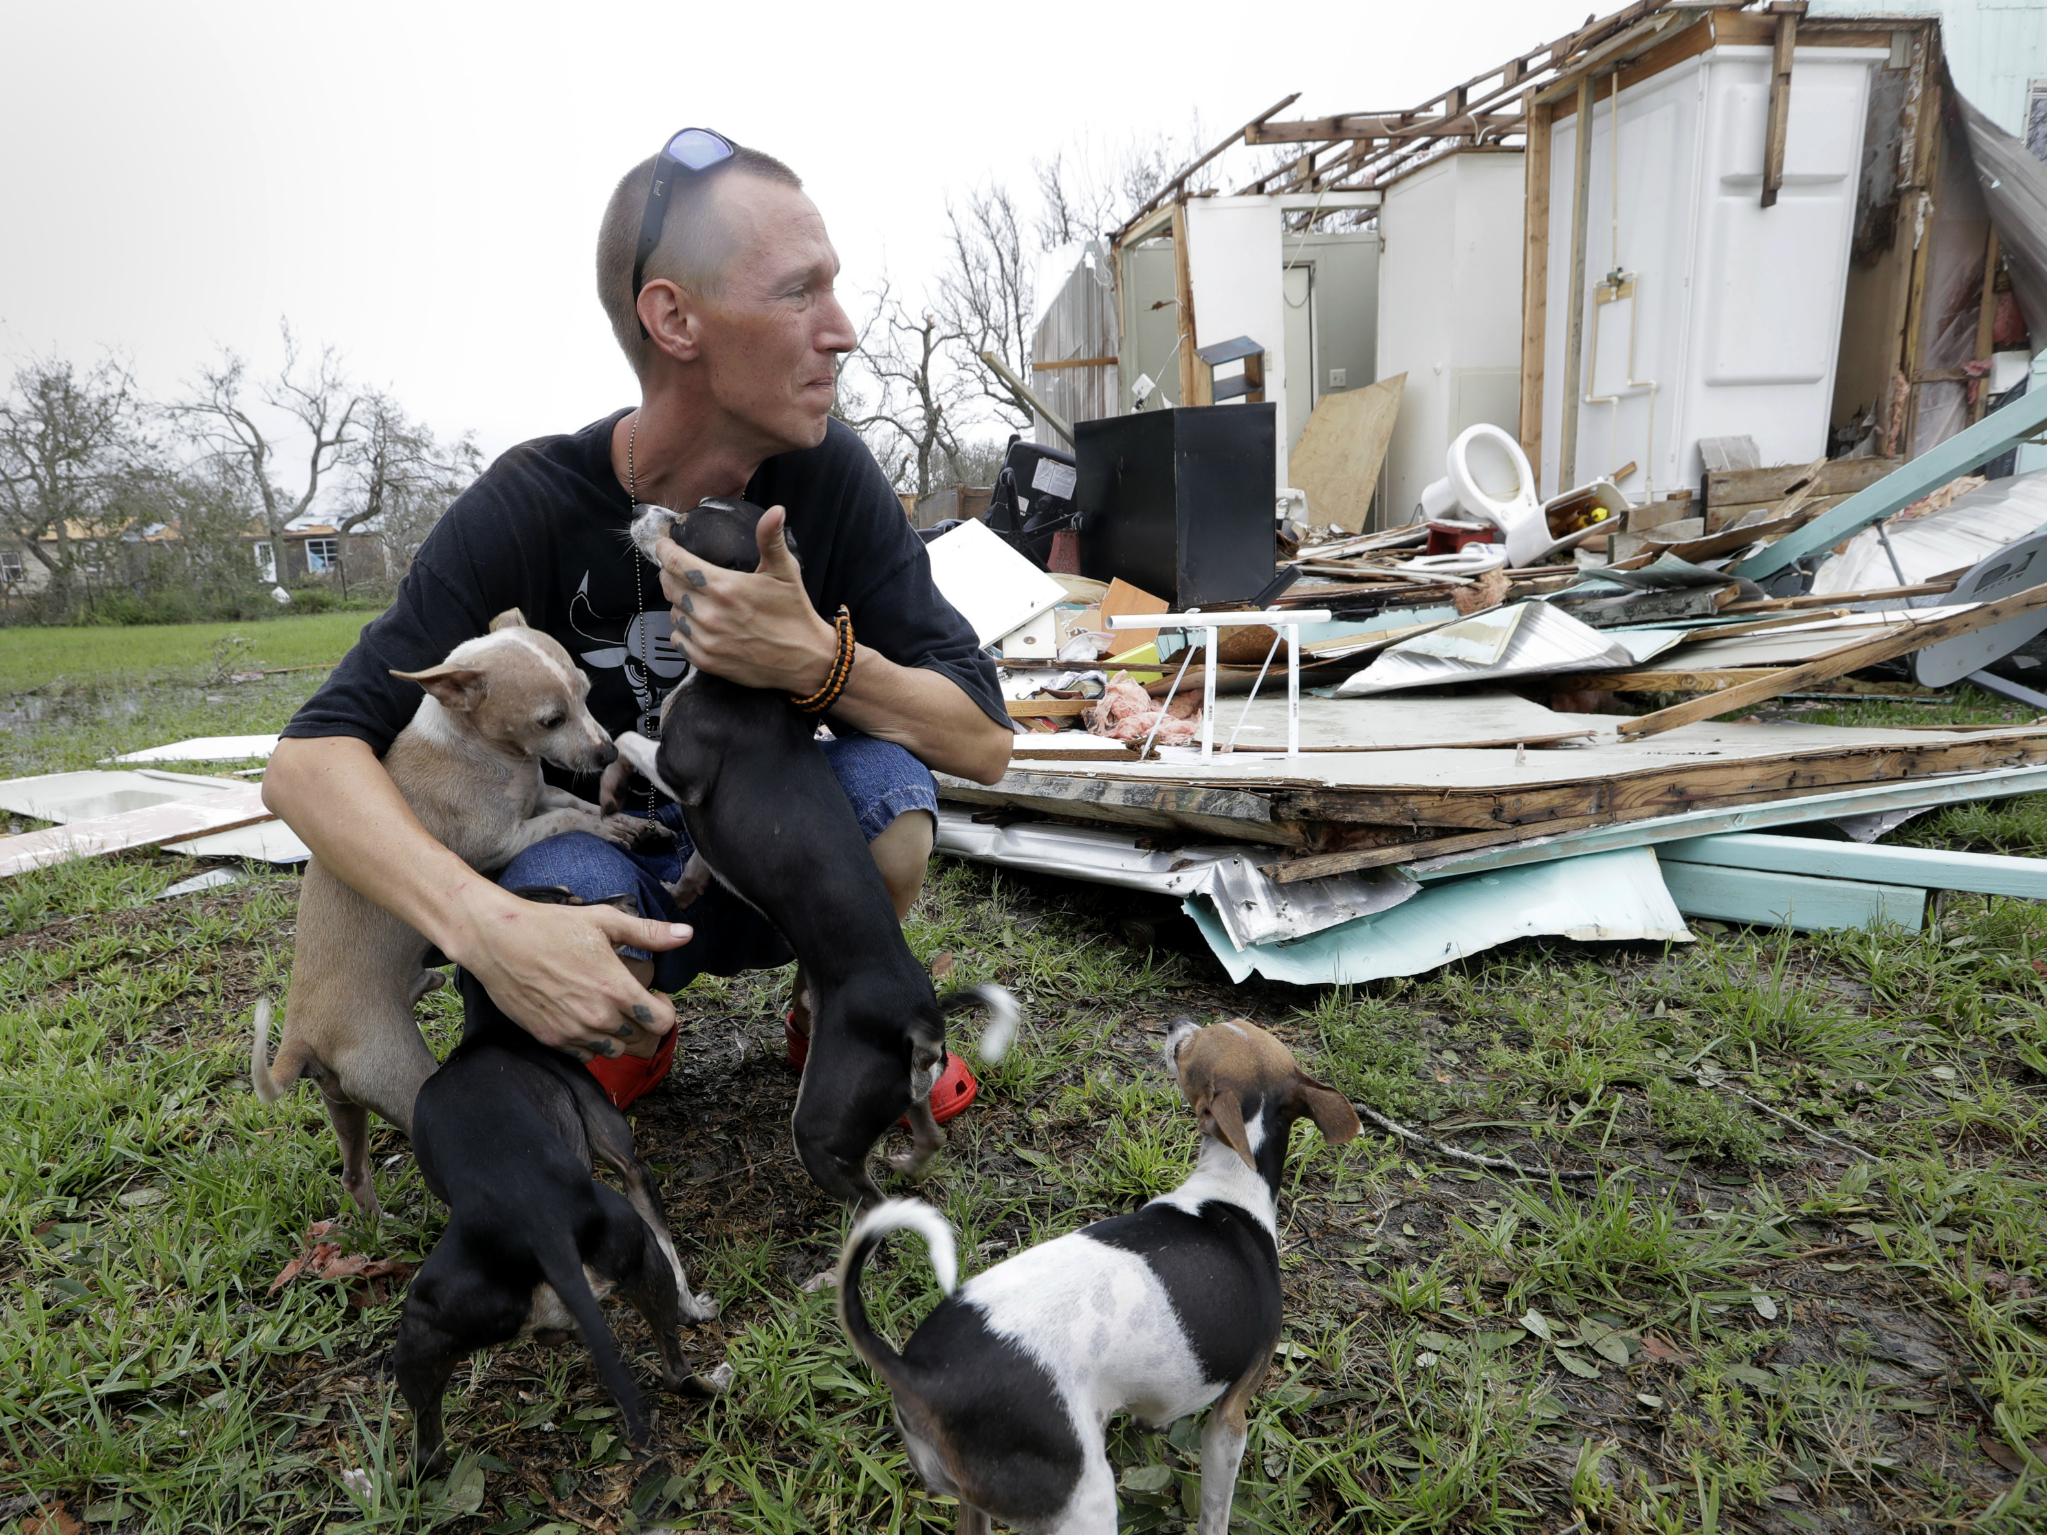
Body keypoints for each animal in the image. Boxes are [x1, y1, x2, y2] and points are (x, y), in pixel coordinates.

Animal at [387, 913, 733, 1482]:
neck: (490, 1030)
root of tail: (540, 1230)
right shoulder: (628, 1164)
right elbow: (672, 1247)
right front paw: (695, 1307)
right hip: (637, 1247)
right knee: (676, 1373)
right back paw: (714, 1380)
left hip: (424, 1328)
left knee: (430, 1454)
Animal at [610, 499, 1019, 1212]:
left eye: (687, 524)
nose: (643, 508)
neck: (742, 684)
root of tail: (921, 1018)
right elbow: (697, 863)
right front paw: (685, 889)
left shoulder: (681, 771)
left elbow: (625, 738)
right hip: (901, 1095)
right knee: (927, 1139)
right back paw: (910, 1161)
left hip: (824, 1120)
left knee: (869, 1200)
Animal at [831, 1024, 1359, 1536]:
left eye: (1189, 1046)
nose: (1174, 1025)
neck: (1230, 1187)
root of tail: (922, 1376)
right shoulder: (1229, 1420)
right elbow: (1215, 1513)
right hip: (1083, 1504)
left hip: (977, 1503)